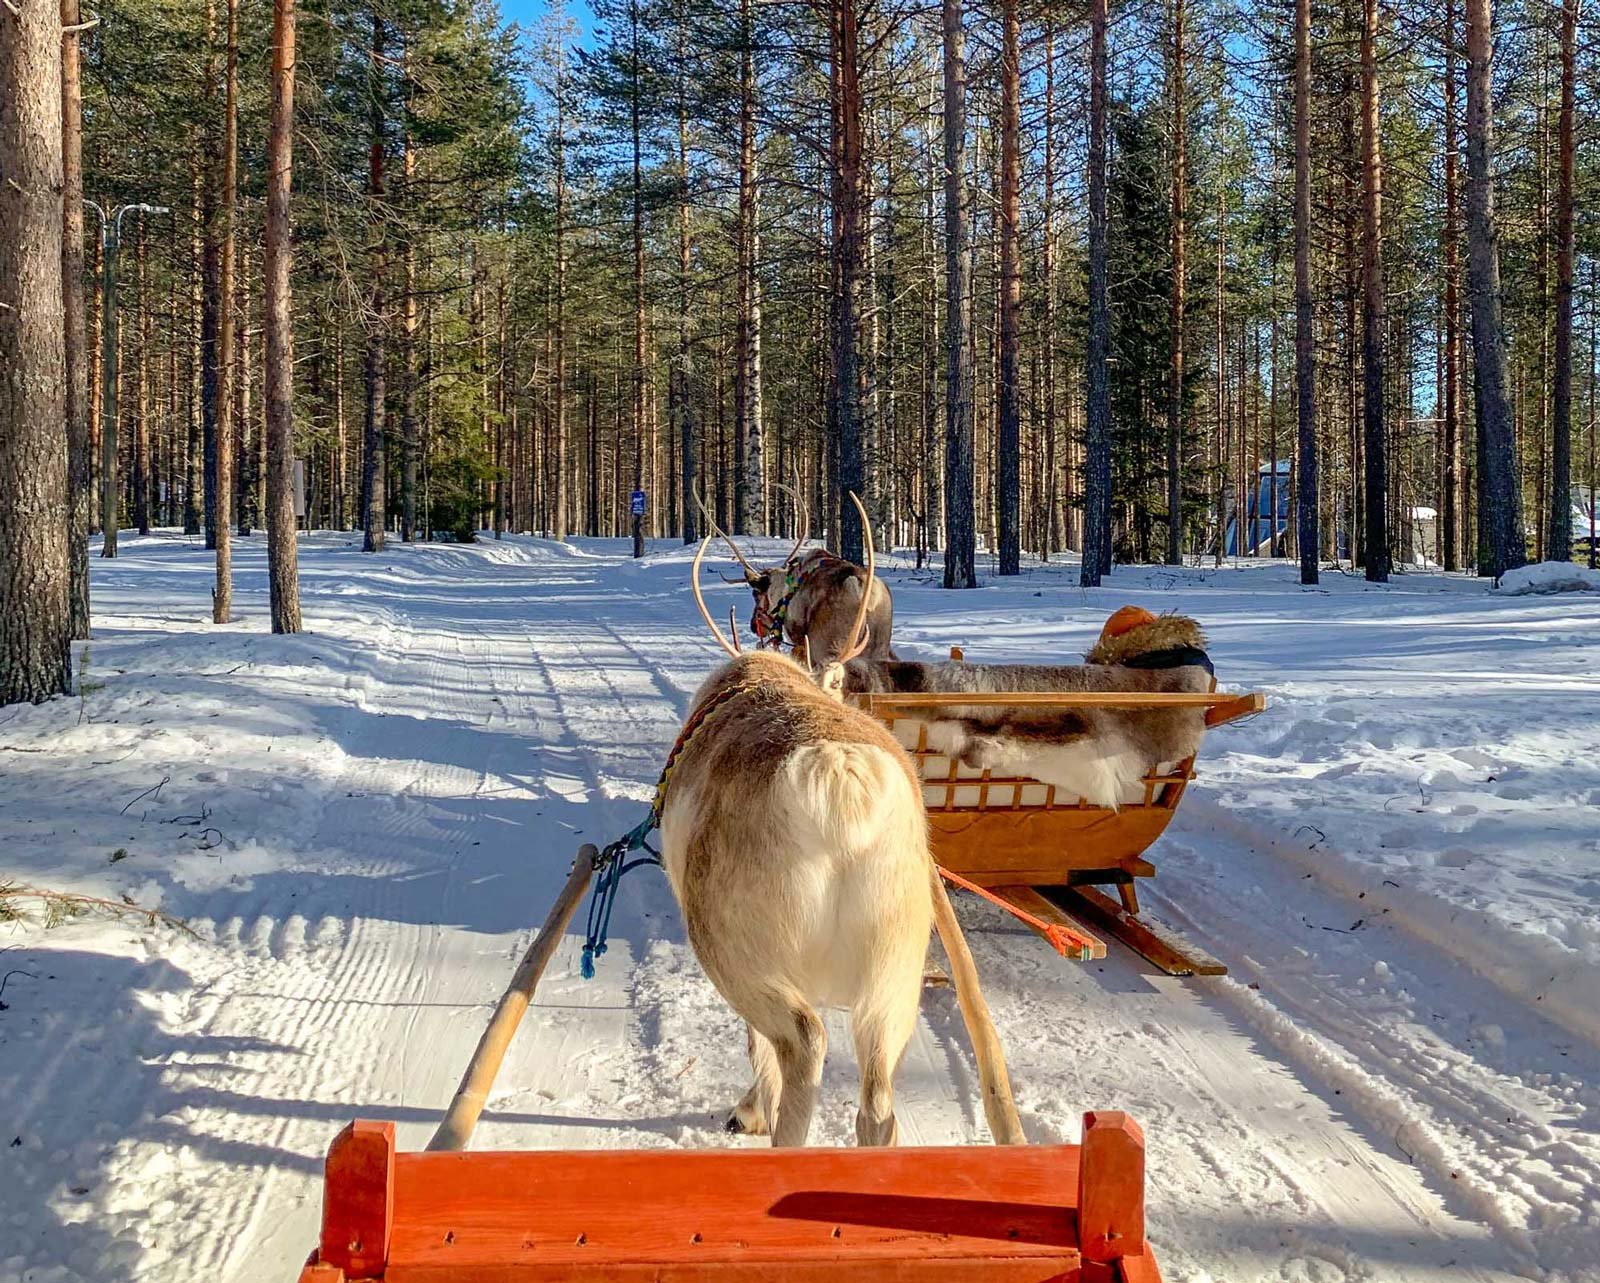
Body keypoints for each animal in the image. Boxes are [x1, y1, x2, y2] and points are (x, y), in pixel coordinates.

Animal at [660, 494, 1023, 1148]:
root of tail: (837, 779)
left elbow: (754, 1047)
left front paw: (748, 1110)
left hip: (736, 947)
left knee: (803, 1044)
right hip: (896, 971)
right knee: (878, 1104)